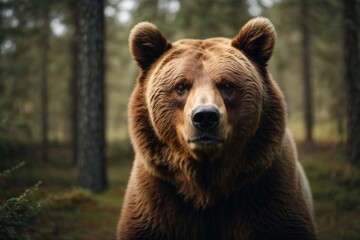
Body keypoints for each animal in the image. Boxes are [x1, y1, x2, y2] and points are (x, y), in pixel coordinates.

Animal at [117, 17, 316, 240]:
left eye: (227, 85)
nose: (205, 117)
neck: (207, 186)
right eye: (181, 86)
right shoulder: (158, 197)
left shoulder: (265, 193)